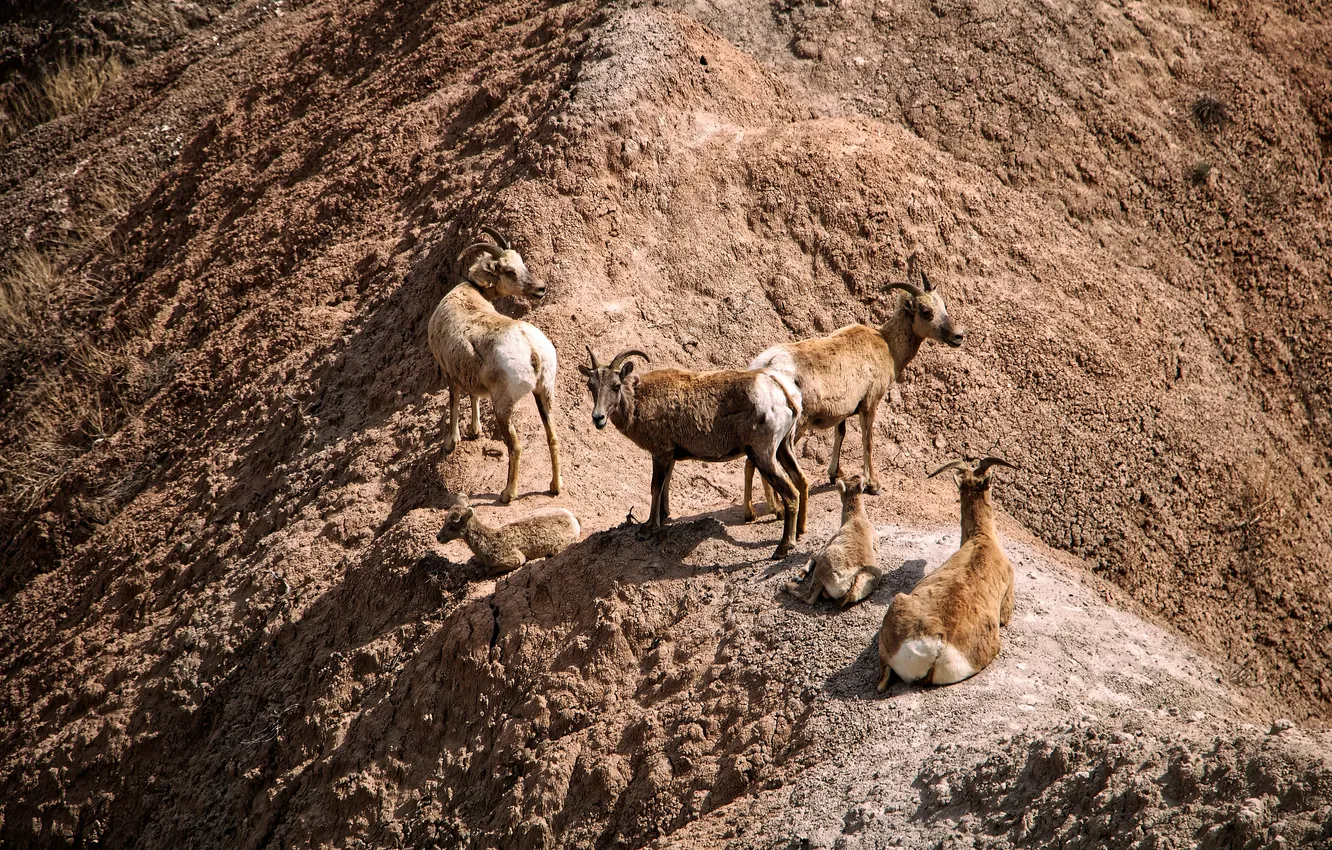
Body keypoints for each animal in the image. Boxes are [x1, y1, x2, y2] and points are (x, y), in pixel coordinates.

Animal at [427, 226, 561, 504]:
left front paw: (451, 443)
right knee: (553, 438)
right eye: (511, 270)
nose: (540, 289)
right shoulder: (469, 375)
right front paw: (474, 431)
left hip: (504, 407)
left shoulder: (449, 373)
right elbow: (474, 397)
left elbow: (454, 403)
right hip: (544, 394)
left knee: (516, 446)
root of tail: (532, 350)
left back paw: (507, 494)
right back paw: (555, 487)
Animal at [436, 493, 580, 573]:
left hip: (558, 548)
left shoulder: (516, 558)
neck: (488, 542)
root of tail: (573, 520)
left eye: (452, 526)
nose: (438, 537)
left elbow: (488, 570)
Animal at [579, 348, 809, 559]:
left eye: (616, 386)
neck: (638, 402)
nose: (598, 418)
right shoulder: (669, 456)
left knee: (790, 493)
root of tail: (785, 395)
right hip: (784, 447)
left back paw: (783, 548)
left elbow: (655, 487)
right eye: (591, 386)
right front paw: (664, 517)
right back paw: (799, 532)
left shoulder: (660, 453)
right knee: (801, 480)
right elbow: (665, 486)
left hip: (763, 454)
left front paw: (648, 529)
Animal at [744, 269, 963, 519]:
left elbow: (841, 433)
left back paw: (752, 512)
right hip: (792, 428)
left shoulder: (846, 410)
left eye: (943, 306)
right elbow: (867, 440)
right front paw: (874, 486)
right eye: (926, 312)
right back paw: (776, 509)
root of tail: (764, 367)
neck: (886, 345)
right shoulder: (870, 403)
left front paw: (834, 474)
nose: (958, 336)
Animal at [785, 475, 881, 606]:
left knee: (810, 597)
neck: (855, 519)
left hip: (823, 564)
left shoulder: (824, 549)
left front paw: (798, 576)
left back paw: (788, 585)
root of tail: (854, 579)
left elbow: (813, 556)